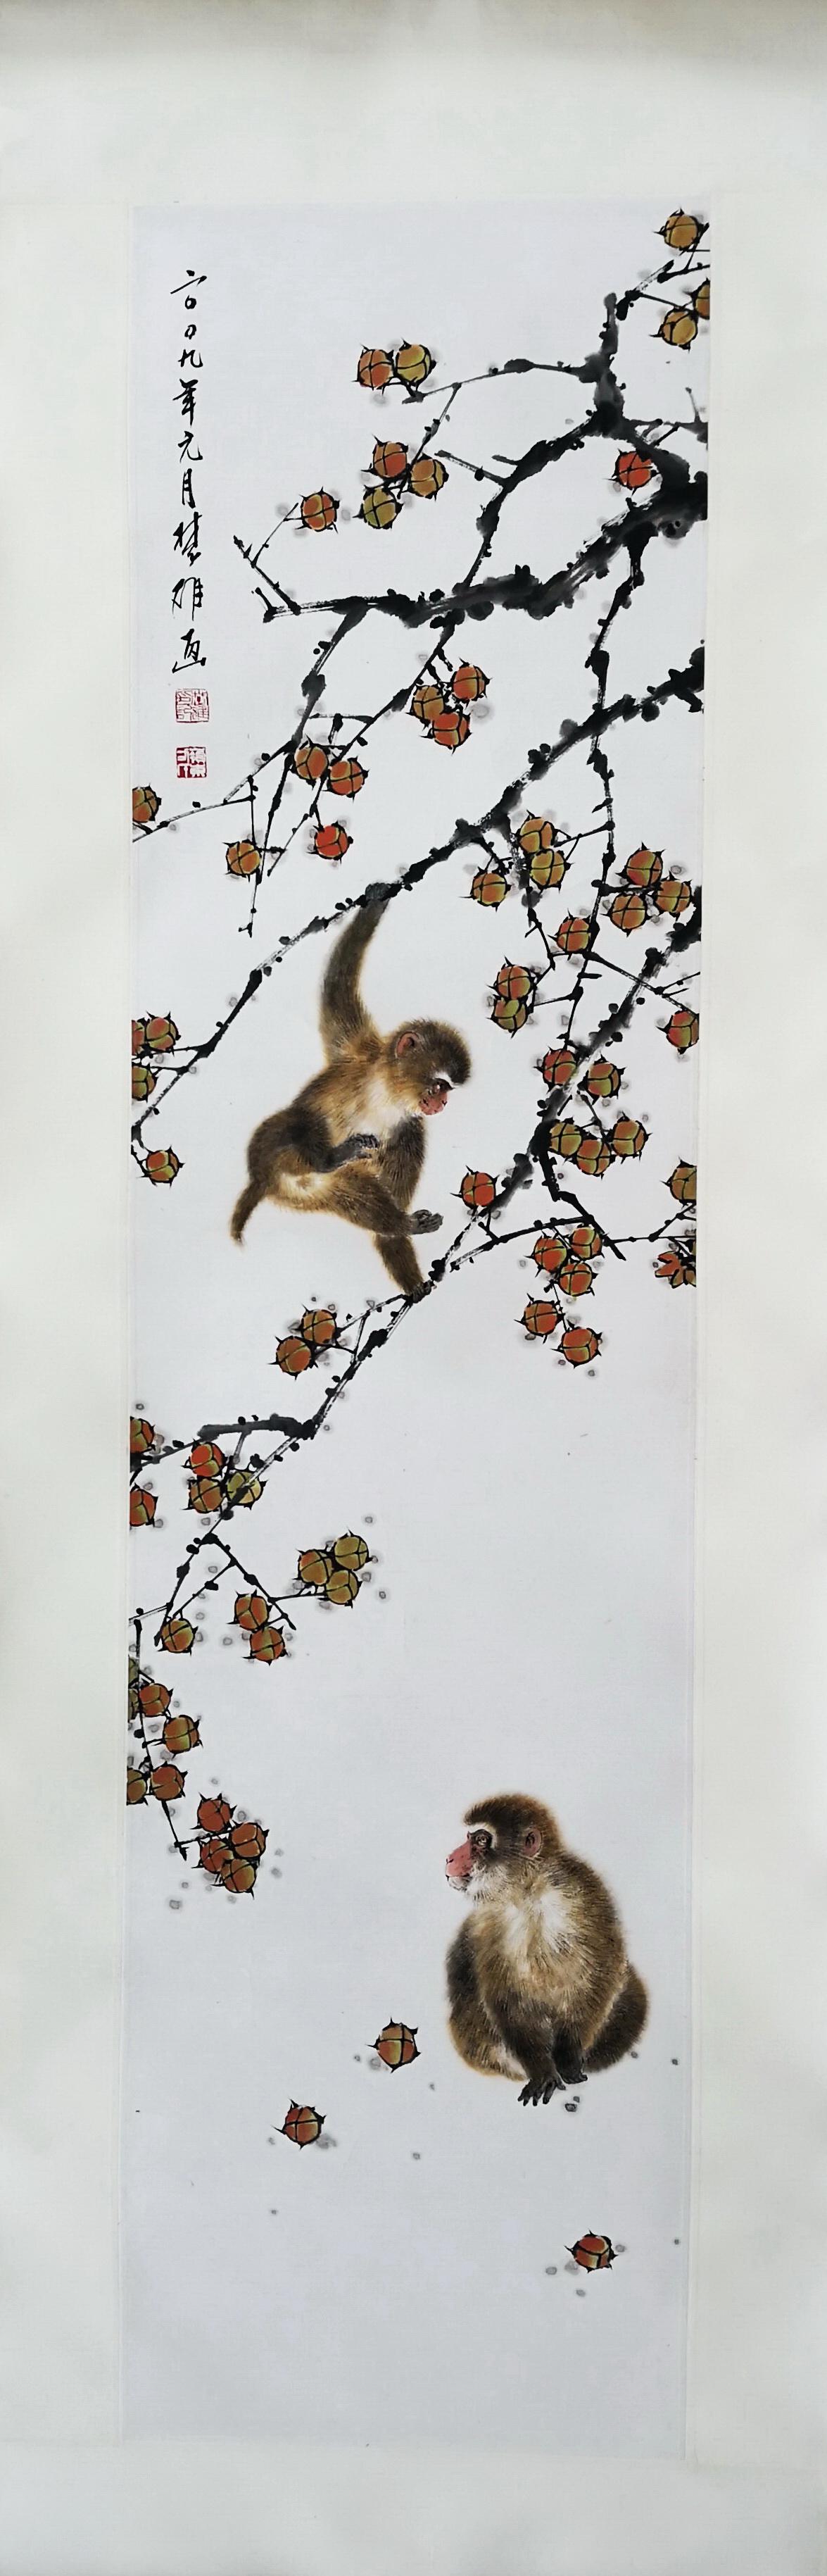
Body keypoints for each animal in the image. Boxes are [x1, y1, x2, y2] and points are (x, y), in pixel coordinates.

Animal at [231, 896, 471, 1299]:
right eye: (439, 1086)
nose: (442, 1104)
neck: (386, 1092)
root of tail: (271, 1183)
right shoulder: (357, 1054)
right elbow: (337, 984)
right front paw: (376, 902)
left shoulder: (409, 1130)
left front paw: (411, 1274)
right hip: (267, 1160)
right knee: (294, 1121)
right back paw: (327, 1158)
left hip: (317, 1192)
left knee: (355, 1187)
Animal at [445, 1794, 647, 2105]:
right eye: (469, 1838)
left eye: (480, 1840)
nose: (450, 1857)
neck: (529, 1893)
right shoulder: (489, 1924)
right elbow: (508, 2004)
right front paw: (543, 2072)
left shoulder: (587, 1895)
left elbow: (601, 1979)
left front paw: (568, 2058)